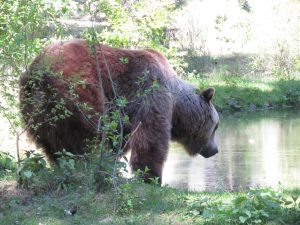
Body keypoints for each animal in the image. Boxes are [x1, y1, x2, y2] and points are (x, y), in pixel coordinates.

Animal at [19, 39, 219, 182]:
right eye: (216, 126)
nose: (215, 150)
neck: (176, 101)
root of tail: (38, 70)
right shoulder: (150, 91)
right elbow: (151, 135)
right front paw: (150, 176)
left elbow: (121, 137)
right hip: (80, 89)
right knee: (88, 134)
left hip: (36, 109)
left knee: (52, 141)